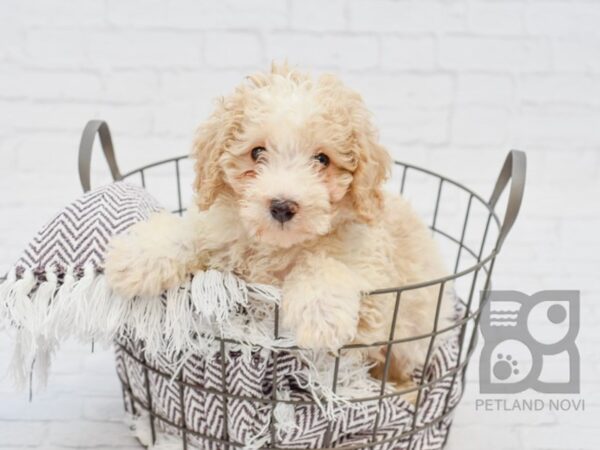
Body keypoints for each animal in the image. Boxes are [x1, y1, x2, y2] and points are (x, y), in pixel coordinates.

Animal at [105, 63, 452, 390]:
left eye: (322, 159)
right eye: (257, 152)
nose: (283, 206)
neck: (275, 248)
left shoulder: (373, 293)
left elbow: (322, 263)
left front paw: (321, 313)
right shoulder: (218, 229)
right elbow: (187, 233)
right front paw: (137, 257)